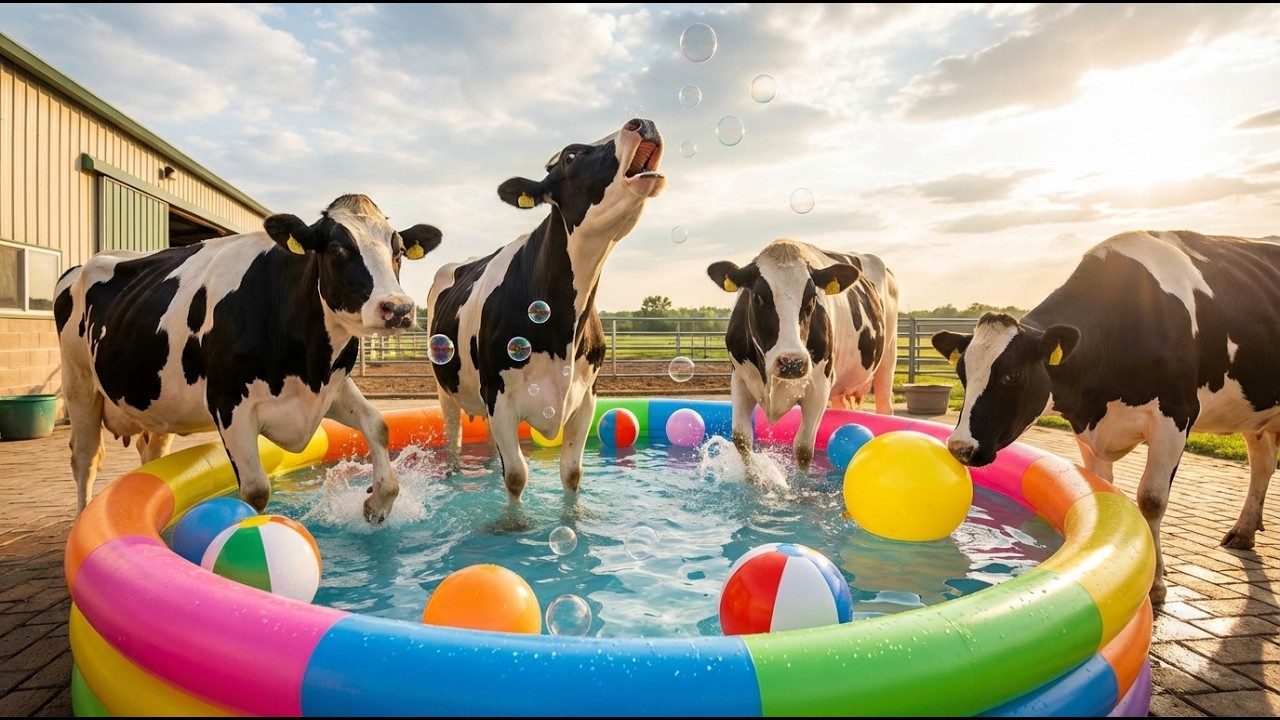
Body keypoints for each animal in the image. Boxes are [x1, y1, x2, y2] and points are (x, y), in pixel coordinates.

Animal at [54, 193, 442, 524]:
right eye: (337, 248)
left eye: (398, 251)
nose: (398, 308)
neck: (309, 357)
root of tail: (88, 262)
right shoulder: (229, 403)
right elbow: (255, 491)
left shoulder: (329, 386)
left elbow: (377, 424)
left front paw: (376, 502)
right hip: (79, 382)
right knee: (85, 457)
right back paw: (81, 515)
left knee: (150, 448)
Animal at [426, 118, 665, 504]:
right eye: (570, 156)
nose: (641, 122)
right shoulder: (500, 398)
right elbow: (516, 477)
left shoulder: (585, 398)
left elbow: (572, 473)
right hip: (445, 386)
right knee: (453, 441)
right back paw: (452, 477)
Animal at [706, 239, 900, 472]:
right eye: (757, 296)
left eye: (812, 297)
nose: (792, 362)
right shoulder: (740, 379)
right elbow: (742, 439)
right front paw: (757, 479)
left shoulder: (819, 387)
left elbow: (804, 449)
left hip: (888, 358)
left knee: (885, 407)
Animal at [931, 230, 1280, 605]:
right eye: (962, 374)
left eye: (1012, 375)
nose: (961, 447)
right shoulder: (1087, 425)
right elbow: (1102, 487)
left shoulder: (1177, 413)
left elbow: (1152, 499)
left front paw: (1156, 583)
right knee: (1262, 463)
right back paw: (1244, 531)